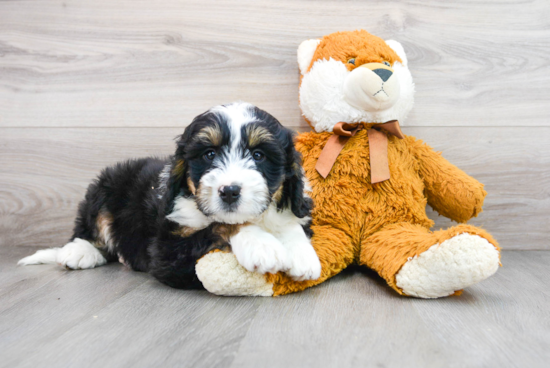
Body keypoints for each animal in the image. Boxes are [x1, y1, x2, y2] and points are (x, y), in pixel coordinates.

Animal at [18, 102, 324, 288]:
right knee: (87, 227)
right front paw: (261, 245)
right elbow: (222, 224)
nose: (229, 191)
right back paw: (80, 252)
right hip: (104, 187)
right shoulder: (167, 251)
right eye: (209, 154)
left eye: (258, 155)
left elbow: (290, 224)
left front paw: (302, 255)